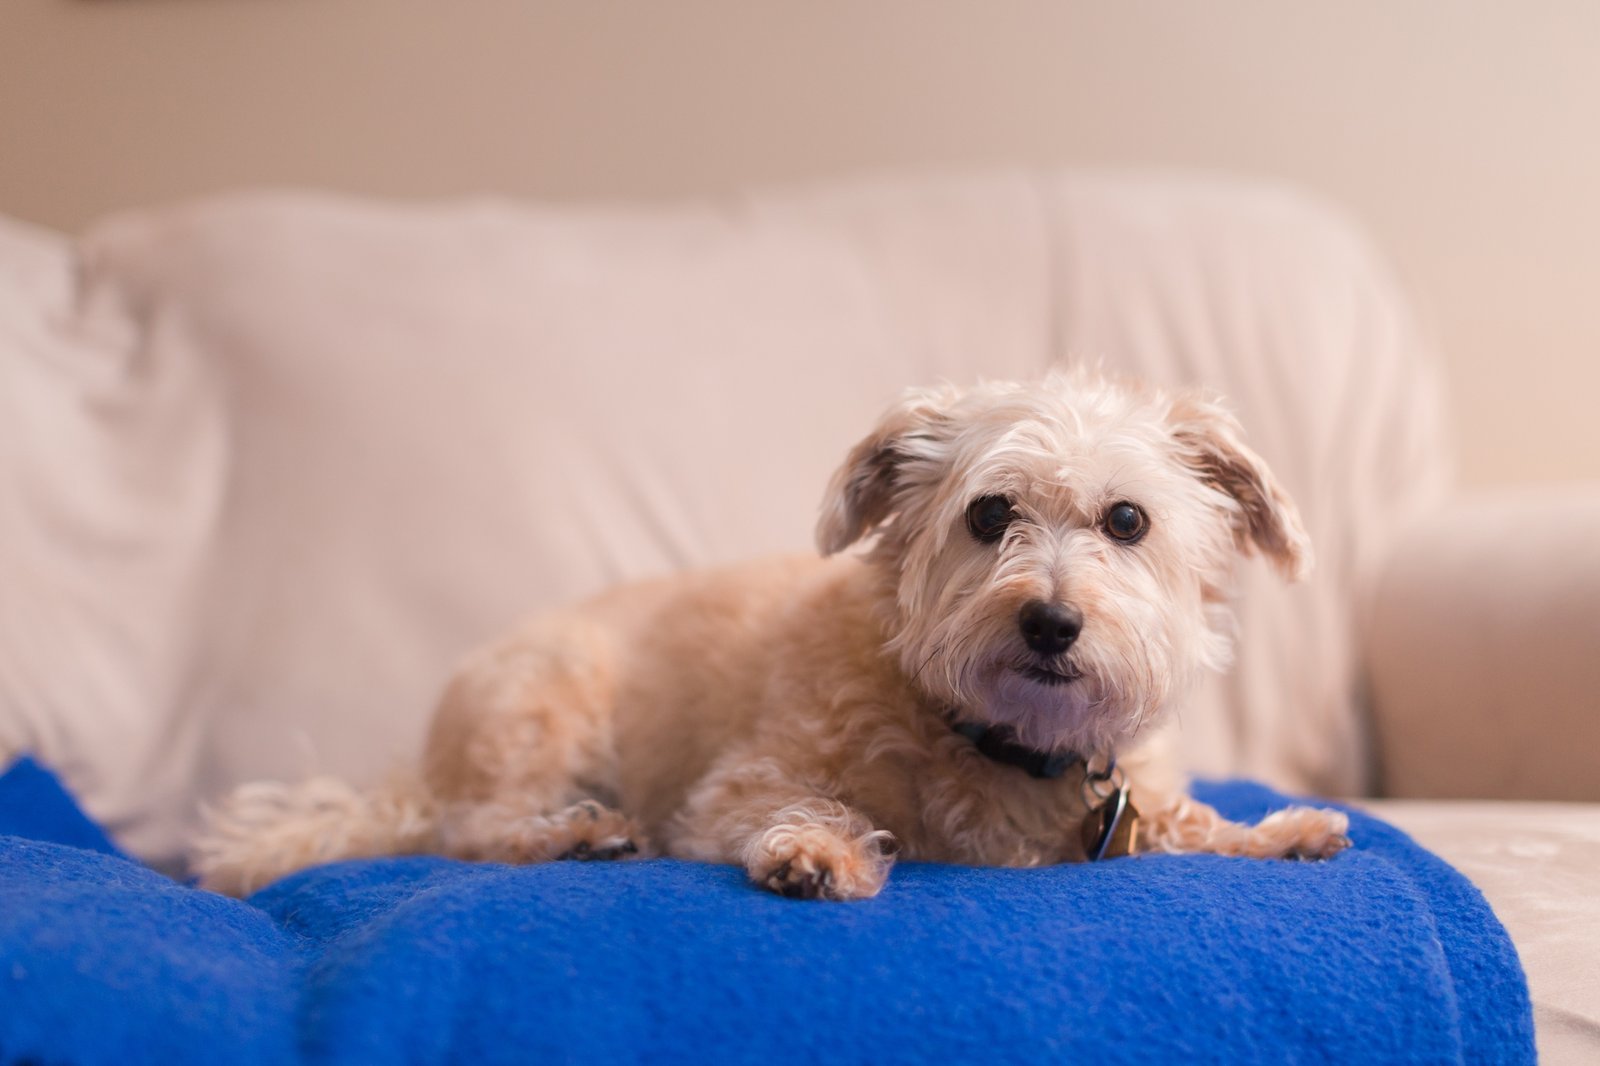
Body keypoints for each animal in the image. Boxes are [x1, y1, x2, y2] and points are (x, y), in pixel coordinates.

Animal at [196, 372, 1350, 896]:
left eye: (1128, 521)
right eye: (989, 515)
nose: (1052, 621)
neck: (1005, 745)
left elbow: (1188, 823)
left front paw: (1280, 832)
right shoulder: (733, 786)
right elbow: (798, 803)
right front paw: (816, 850)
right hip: (546, 703)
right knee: (470, 829)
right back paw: (572, 834)